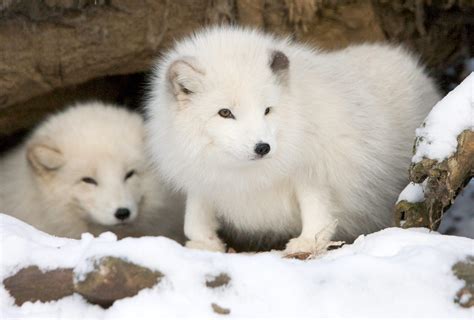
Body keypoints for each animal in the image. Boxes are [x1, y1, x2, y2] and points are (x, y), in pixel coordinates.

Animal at [145, 26, 440, 252]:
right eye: (225, 113)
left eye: (267, 110)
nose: (262, 147)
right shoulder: (202, 177)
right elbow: (193, 218)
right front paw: (203, 244)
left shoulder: (314, 173)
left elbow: (318, 215)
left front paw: (307, 244)